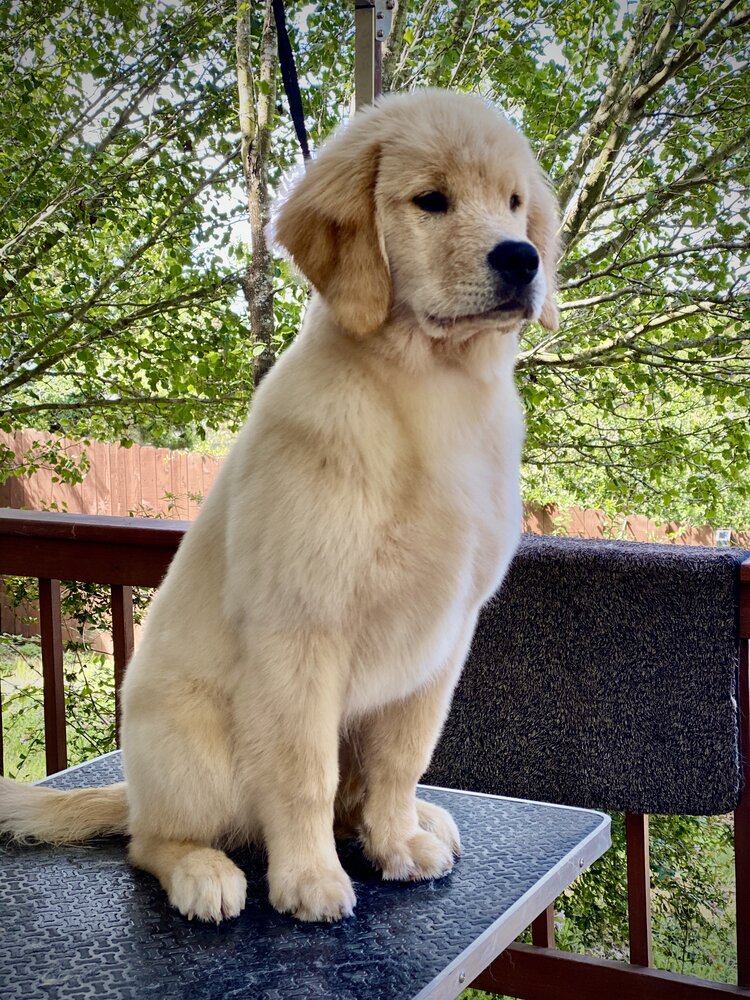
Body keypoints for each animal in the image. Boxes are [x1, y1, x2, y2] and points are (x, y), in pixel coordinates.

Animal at [0, 90, 560, 924]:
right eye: (432, 200)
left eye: (515, 204)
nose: (522, 259)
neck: (430, 387)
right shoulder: (301, 625)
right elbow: (303, 771)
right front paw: (309, 880)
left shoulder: (444, 637)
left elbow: (402, 756)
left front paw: (397, 840)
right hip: (192, 752)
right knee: (151, 839)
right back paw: (203, 872)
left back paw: (412, 820)